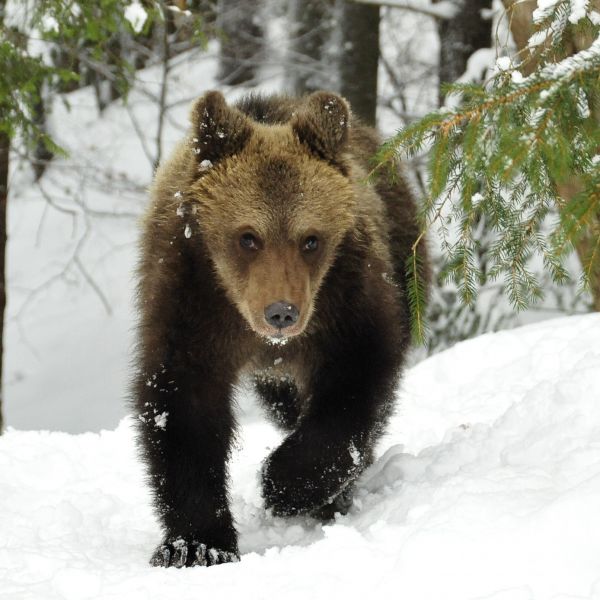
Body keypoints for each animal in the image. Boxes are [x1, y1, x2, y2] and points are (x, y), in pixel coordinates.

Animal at [134, 89, 428, 568]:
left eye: (311, 239)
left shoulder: (346, 302)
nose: (281, 313)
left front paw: (284, 485)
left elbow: (355, 387)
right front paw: (196, 544)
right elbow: (184, 411)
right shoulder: (193, 306)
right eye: (247, 236)